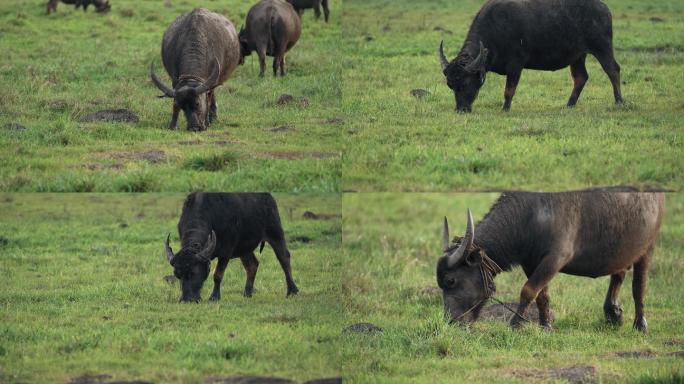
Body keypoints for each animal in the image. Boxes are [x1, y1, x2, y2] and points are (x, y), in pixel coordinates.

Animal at [165, 192, 300, 304]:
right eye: (178, 275)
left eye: (194, 272)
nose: (187, 300)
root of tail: (268, 196)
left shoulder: (226, 252)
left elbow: (217, 275)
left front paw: (214, 297)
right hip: (244, 248)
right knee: (252, 265)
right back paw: (247, 293)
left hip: (275, 232)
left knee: (284, 258)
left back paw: (292, 291)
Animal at [438, 0, 624, 112]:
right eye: (450, 85)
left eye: (466, 82)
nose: (461, 110)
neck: (496, 29)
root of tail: (603, 8)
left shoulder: (516, 65)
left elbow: (509, 90)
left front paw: (505, 109)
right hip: (578, 56)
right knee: (581, 77)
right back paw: (569, 104)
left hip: (602, 47)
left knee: (613, 70)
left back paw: (619, 101)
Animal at [438, 194, 664, 332]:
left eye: (451, 281)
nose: (451, 321)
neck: (531, 217)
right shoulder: (531, 262)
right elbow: (541, 295)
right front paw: (545, 325)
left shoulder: (556, 259)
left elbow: (528, 290)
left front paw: (515, 324)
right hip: (621, 250)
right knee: (619, 273)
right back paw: (613, 314)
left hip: (648, 248)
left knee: (639, 286)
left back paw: (640, 325)